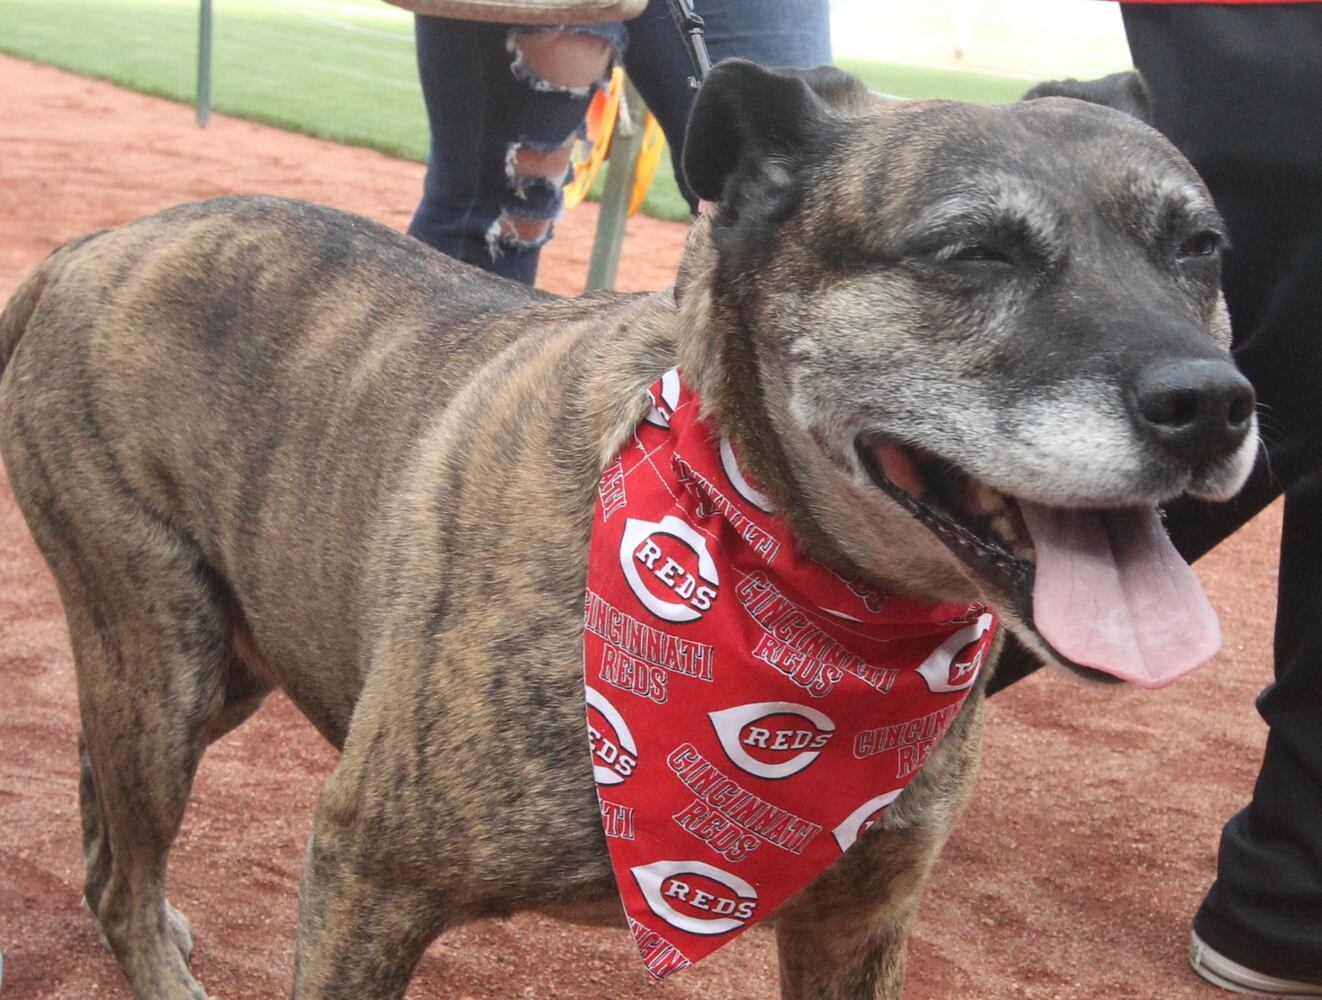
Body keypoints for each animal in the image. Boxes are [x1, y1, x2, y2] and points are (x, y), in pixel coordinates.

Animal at [0, 64, 1258, 1000]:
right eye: (972, 251)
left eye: (1199, 246)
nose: (1210, 403)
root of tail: (85, 249)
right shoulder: (367, 870)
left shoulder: (855, 922)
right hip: (162, 665)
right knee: (118, 863)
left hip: (221, 660)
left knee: (105, 817)